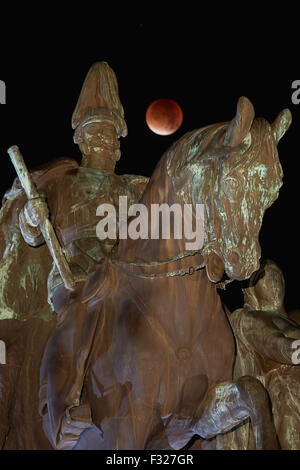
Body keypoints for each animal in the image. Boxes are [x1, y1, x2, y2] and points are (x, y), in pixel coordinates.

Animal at [65, 94, 290, 448]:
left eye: (274, 191)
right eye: (231, 182)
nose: (246, 260)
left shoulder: (193, 415)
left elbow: (252, 389)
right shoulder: (124, 425)